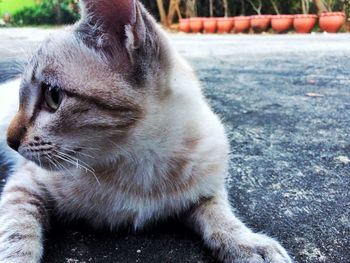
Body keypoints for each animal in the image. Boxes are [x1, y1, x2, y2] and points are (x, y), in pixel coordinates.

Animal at [0, 1, 292, 262]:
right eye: (23, 98)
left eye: (53, 96)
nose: (10, 141)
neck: (141, 164)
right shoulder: (24, 186)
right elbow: (16, 237)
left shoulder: (207, 187)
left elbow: (221, 215)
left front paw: (247, 243)